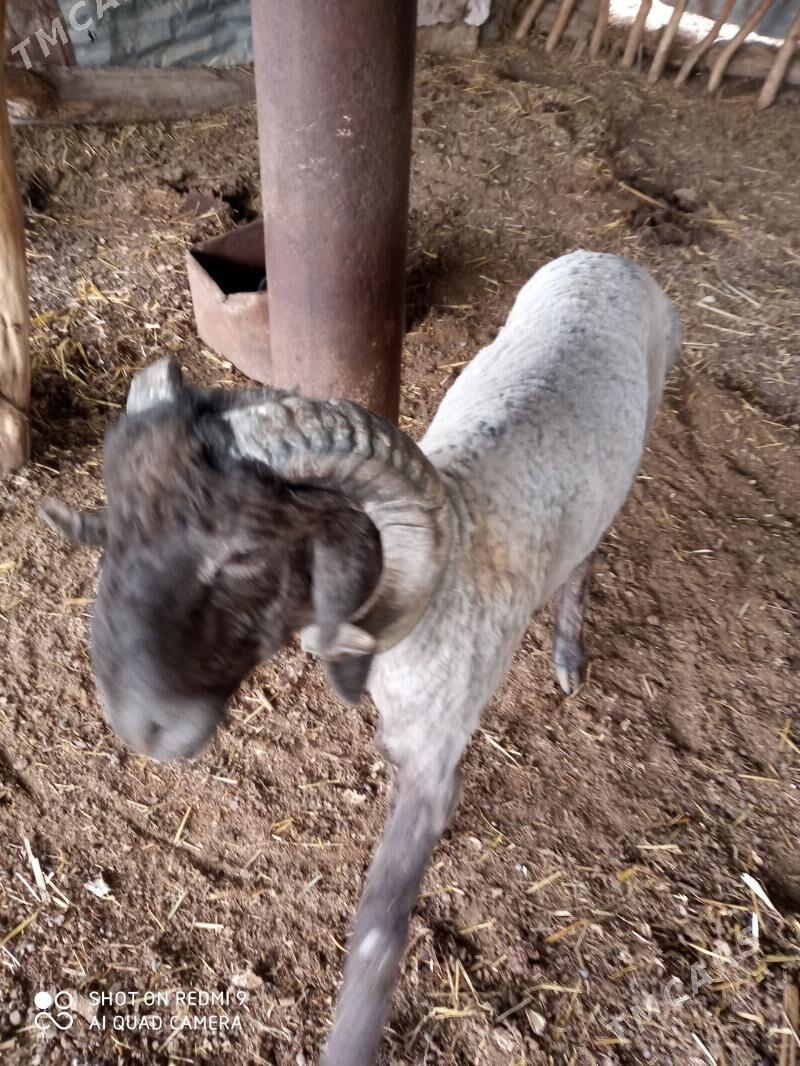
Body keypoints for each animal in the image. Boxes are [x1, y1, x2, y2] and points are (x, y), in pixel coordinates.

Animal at [42, 249, 681, 1066]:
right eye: (114, 528)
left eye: (243, 553)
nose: (135, 723)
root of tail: (608, 258)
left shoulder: (436, 757)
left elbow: (378, 936)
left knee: (588, 558)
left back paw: (569, 652)